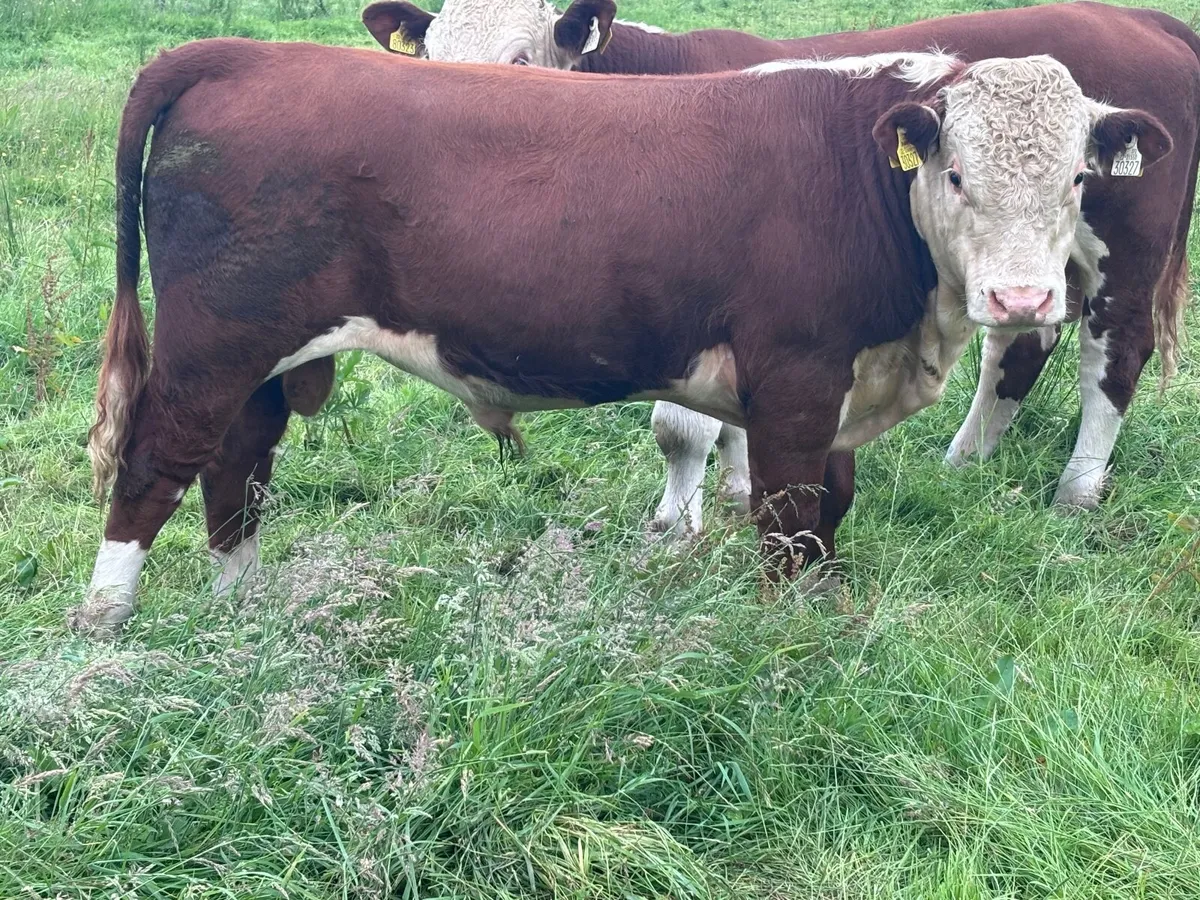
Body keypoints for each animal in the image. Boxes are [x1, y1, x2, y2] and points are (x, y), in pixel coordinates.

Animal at [73, 41, 1171, 637]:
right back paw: (107, 624)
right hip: (214, 345)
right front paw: (789, 649)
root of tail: (246, 51)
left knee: (236, 468)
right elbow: (788, 520)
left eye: (1079, 178)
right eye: (955, 175)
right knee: (155, 464)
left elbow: (831, 513)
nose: (1024, 300)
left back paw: (243, 616)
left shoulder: (833, 390)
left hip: (258, 359)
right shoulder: (796, 378)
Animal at [361, 0, 1200, 536]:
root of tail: (1141, 18)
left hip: (1121, 257)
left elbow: (680, 428)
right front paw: (736, 496)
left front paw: (675, 529)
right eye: (430, 56)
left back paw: (1075, 495)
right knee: (1019, 341)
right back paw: (965, 463)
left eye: (521, 58)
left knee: (1111, 357)